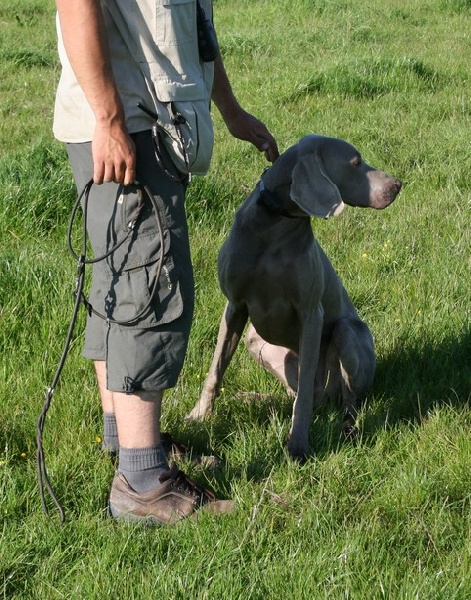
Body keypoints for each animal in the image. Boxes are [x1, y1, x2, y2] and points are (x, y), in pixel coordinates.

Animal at [188, 132, 402, 460]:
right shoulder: (234, 306)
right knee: (295, 392)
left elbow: (302, 397)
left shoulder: (311, 313)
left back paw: (348, 428)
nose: (397, 185)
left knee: (345, 399)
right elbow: (215, 368)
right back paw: (254, 398)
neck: (274, 225)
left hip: (349, 332)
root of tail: (326, 400)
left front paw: (298, 444)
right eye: (355, 163)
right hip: (254, 339)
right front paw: (199, 416)